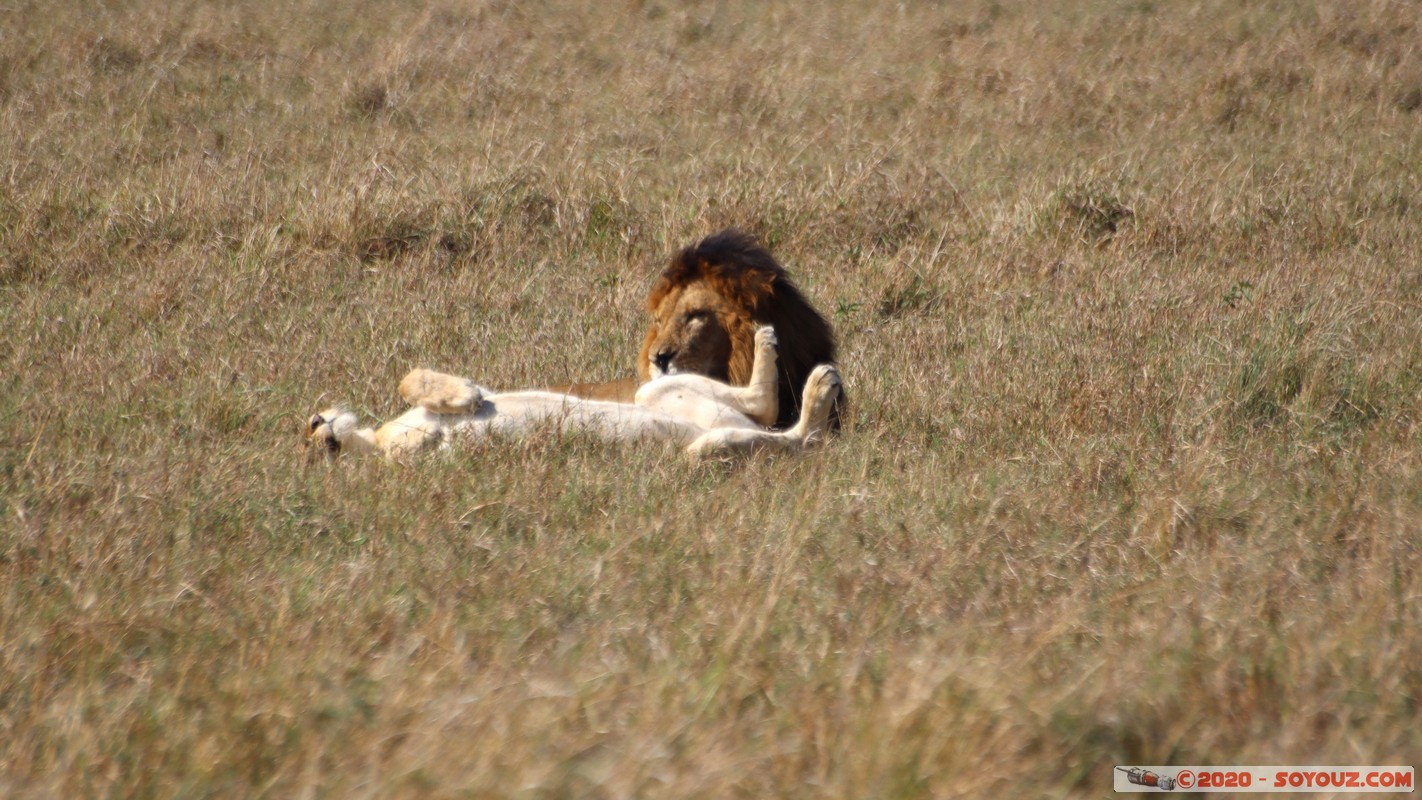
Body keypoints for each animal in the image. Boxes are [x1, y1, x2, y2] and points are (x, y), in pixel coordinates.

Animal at [311, 326, 841, 463]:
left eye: (309, 425)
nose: (320, 430)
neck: (376, 440)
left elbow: (410, 376)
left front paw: (465, 397)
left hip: (659, 388)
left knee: (764, 408)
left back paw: (769, 342)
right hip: (703, 450)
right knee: (796, 440)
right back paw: (820, 392)